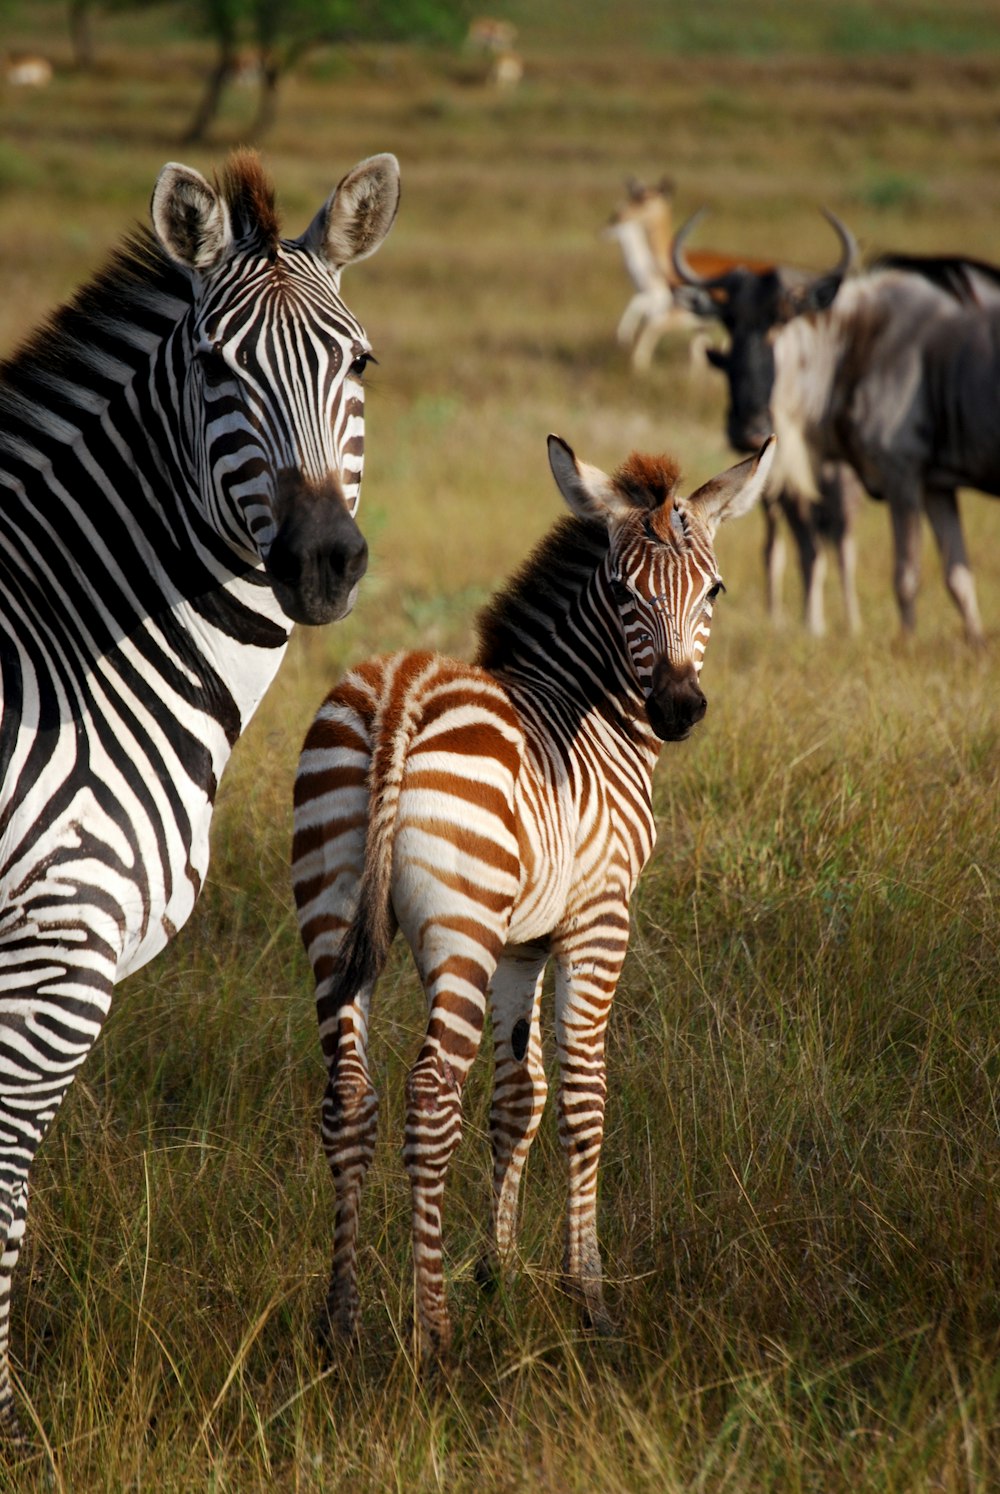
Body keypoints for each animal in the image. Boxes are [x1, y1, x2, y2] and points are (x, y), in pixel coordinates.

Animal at [0, 145, 397, 1440]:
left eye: (358, 364)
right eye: (219, 371)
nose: (323, 562)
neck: (72, 651)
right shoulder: (54, 949)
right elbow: (5, 1186)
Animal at [288, 430, 771, 1356]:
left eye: (715, 589)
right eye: (621, 590)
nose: (680, 709)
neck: (591, 711)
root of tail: (398, 694)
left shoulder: (523, 942)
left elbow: (520, 1098)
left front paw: (499, 1269)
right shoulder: (597, 919)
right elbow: (581, 1096)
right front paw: (589, 1295)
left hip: (333, 919)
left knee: (350, 1096)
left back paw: (342, 1324)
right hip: (459, 933)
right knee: (429, 1097)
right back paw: (432, 1338)